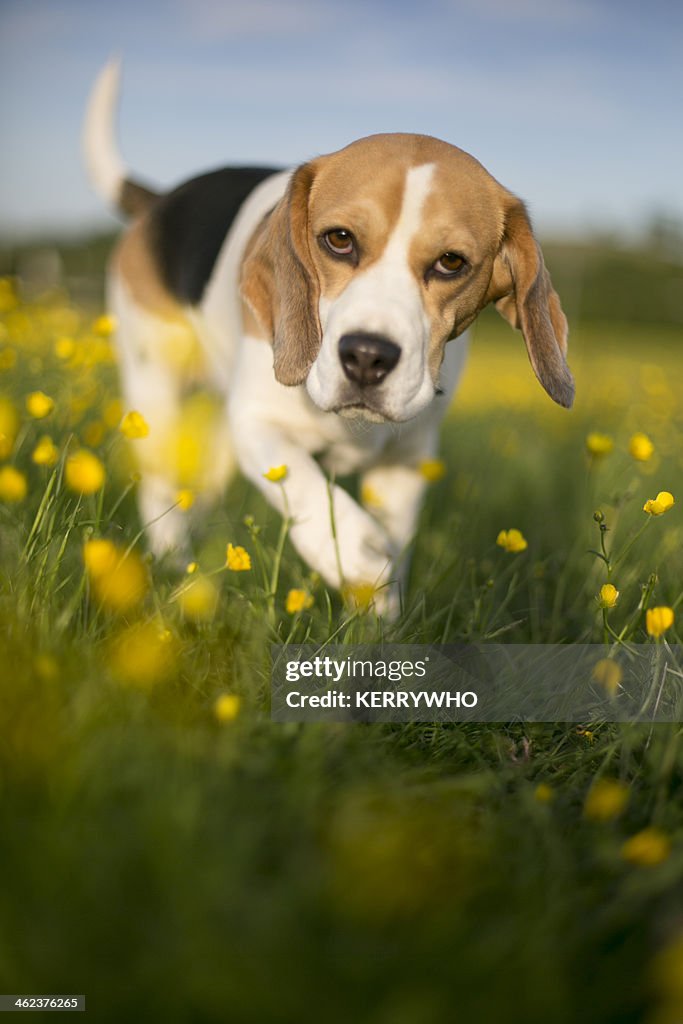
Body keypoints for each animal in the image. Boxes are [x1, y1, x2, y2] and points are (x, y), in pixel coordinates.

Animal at [82, 61, 573, 614]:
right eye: (339, 240)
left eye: (451, 262)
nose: (366, 358)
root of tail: (162, 201)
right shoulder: (257, 419)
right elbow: (304, 485)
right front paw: (351, 552)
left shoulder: (406, 464)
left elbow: (394, 555)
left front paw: (380, 613)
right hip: (154, 388)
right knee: (161, 487)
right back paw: (171, 563)